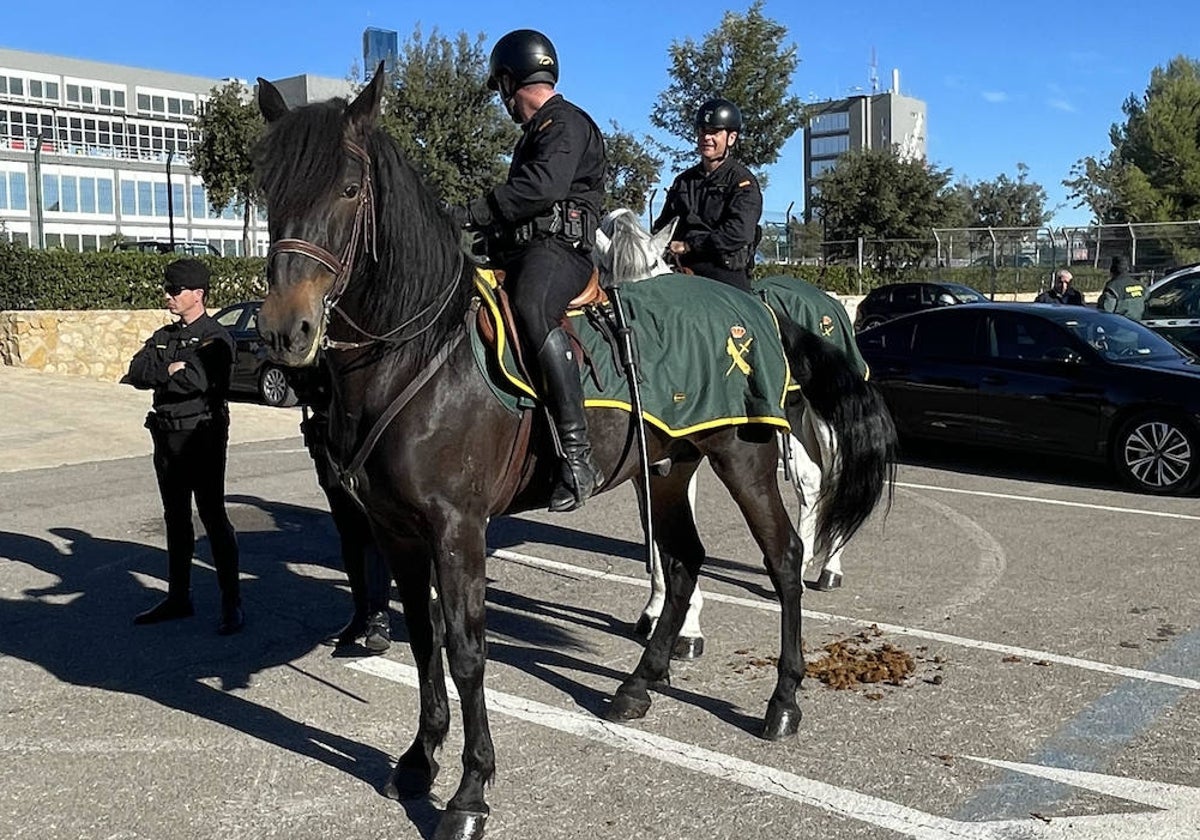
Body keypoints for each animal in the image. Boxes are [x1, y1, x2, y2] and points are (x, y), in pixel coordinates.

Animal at [595, 206, 849, 657]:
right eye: (613, 292)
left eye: (656, 275)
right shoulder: (646, 466)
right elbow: (654, 534)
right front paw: (654, 610)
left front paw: (688, 628)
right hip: (793, 416)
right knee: (811, 482)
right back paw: (802, 564)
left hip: (821, 419)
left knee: (833, 476)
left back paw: (830, 568)